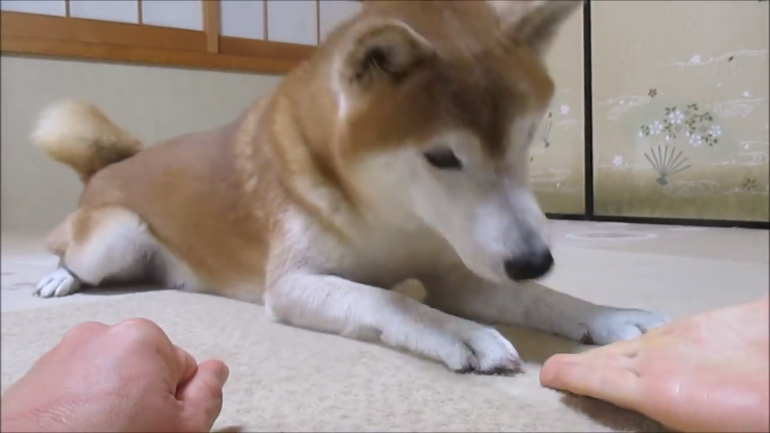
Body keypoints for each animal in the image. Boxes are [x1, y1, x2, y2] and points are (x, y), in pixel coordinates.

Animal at [31, 0, 665, 374]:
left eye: (527, 138)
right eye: (441, 157)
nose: (535, 259)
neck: (391, 216)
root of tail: (110, 165)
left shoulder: (458, 271)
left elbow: (544, 300)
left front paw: (610, 316)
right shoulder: (293, 284)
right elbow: (389, 300)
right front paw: (461, 333)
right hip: (114, 237)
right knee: (73, 254)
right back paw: (58, 279)